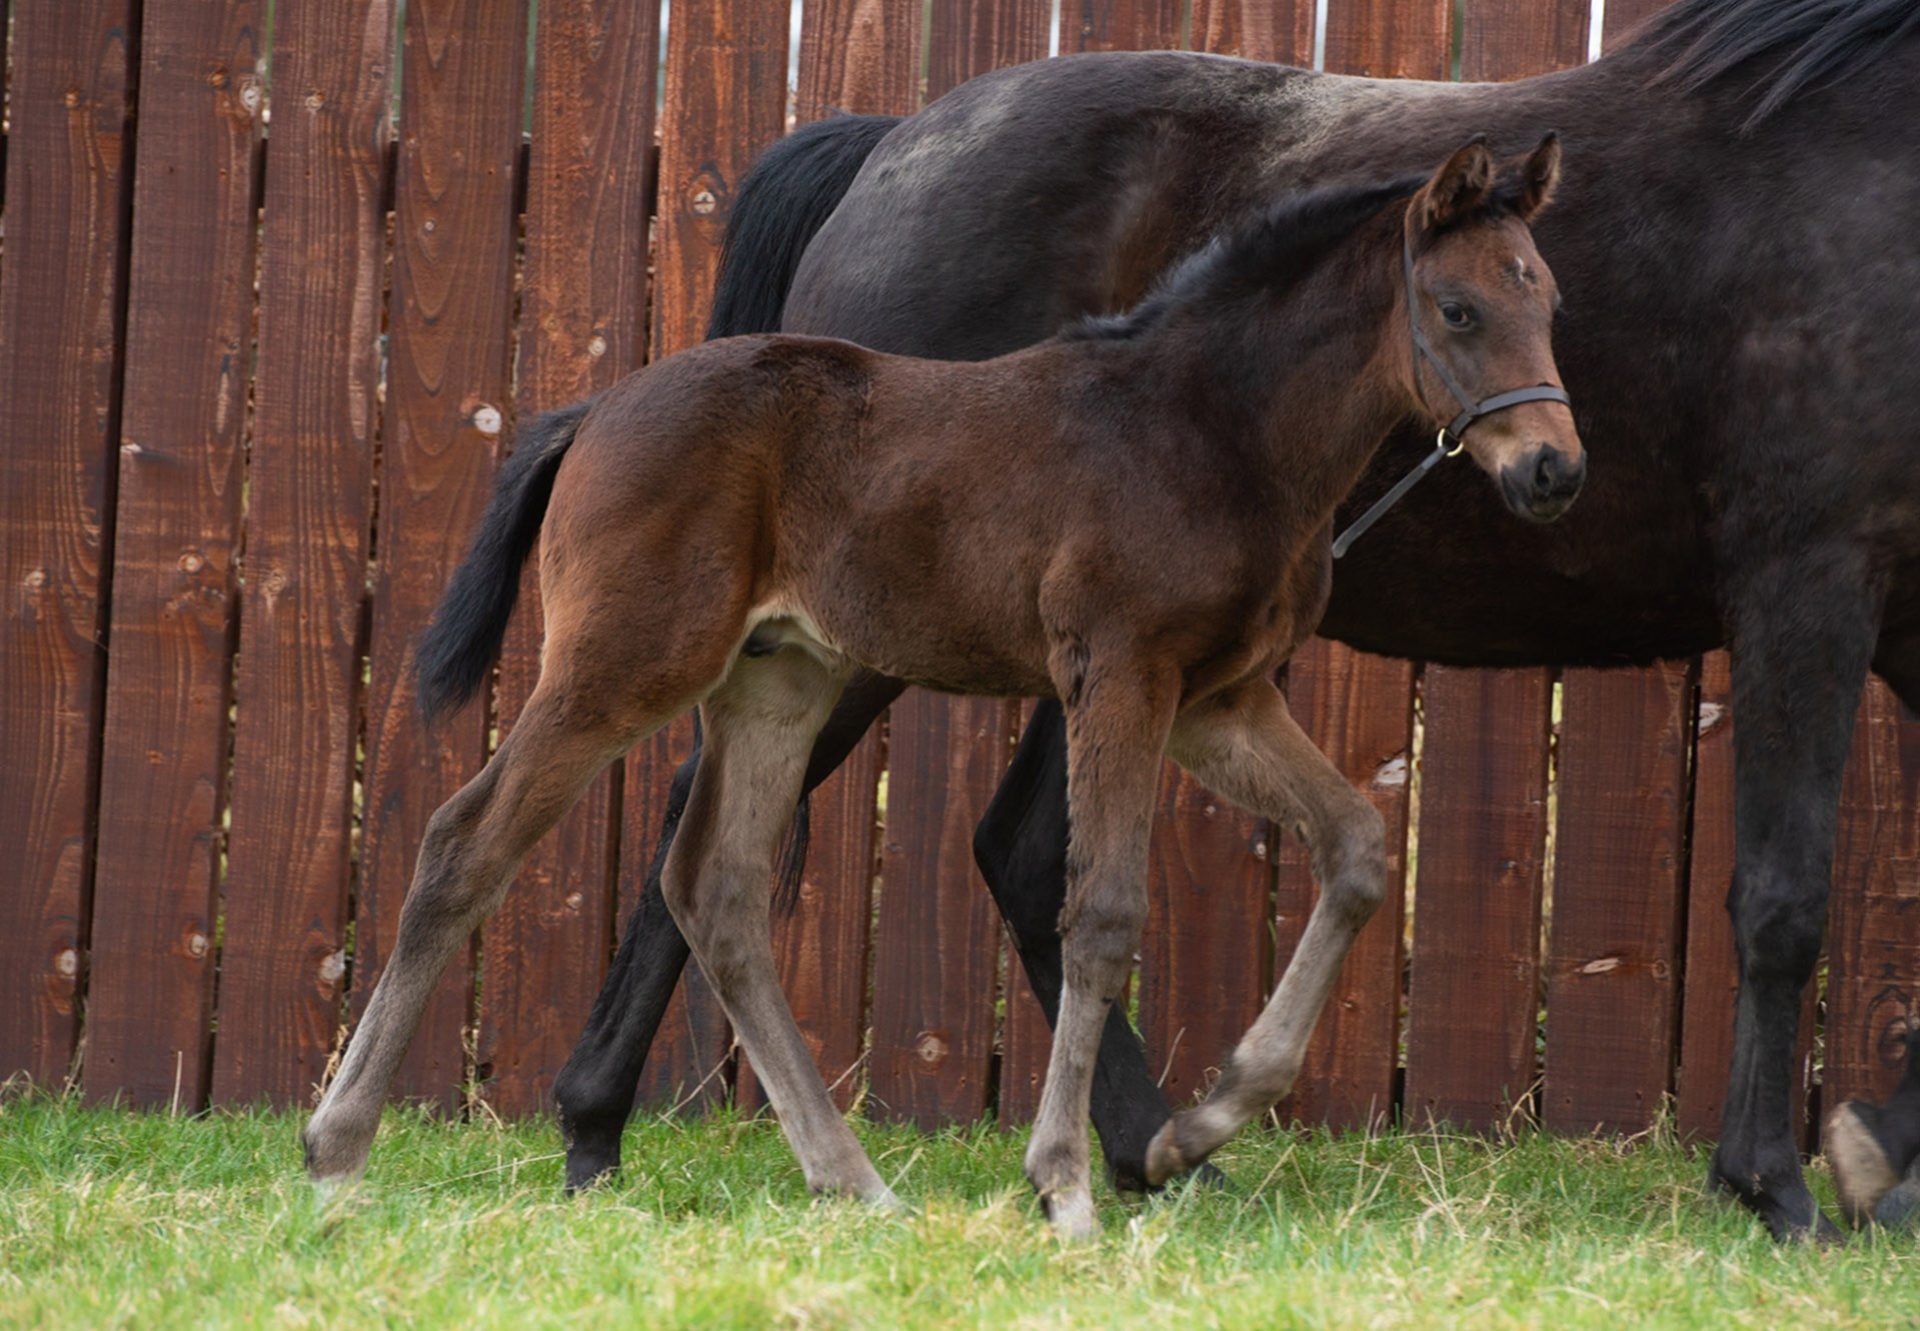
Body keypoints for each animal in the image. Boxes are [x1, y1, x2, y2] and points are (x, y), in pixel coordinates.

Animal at [307, 137, 1582, 1236]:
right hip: (623, 662)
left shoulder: (1220, 700)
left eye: (1551, 302)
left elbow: (1358, 846)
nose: (1553, 470)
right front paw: (1067, 1183)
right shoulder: (1123, 670)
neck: (1212, 427)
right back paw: (336, 1146)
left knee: (714, 888)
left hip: (779, 683)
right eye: (1460, 310)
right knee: (464, 841)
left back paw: (851, 1177)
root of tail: (592, 410)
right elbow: (1101, 911)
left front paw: (1196, 1127)